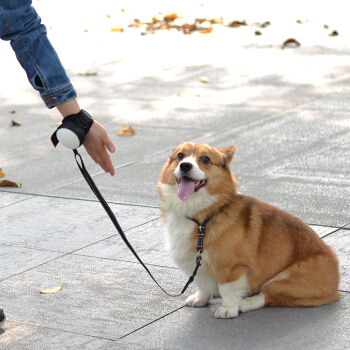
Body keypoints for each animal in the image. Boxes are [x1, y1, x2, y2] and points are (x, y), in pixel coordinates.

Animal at [157, 142, 340, 318]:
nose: (185, 166)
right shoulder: (197, 262)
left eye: (205, 159)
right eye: (180, 155)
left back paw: (244, 304)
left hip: (288, 278)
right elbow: (202, 284)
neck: (202, 215)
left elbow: (228, 289)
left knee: (268, 296)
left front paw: (228, 309)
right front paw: (201, 299)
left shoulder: (231, 267)